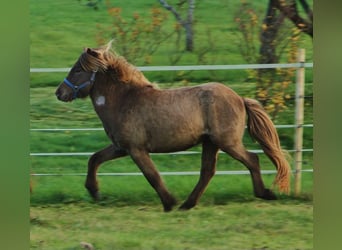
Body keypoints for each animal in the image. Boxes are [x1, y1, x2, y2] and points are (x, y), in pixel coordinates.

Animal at [56, 42, 292, 212]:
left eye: (77, 70)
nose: (60, 93)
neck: (125, 101)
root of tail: (240, 99)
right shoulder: (121, 147)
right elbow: (94, 159)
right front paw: (94, 191)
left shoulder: (136, 150)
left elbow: (152, 176)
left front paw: (169, 202)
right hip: (210, 143)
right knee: (208, 171)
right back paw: (187, 204)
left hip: (227, 142)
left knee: (252, 159)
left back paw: (264, 193)